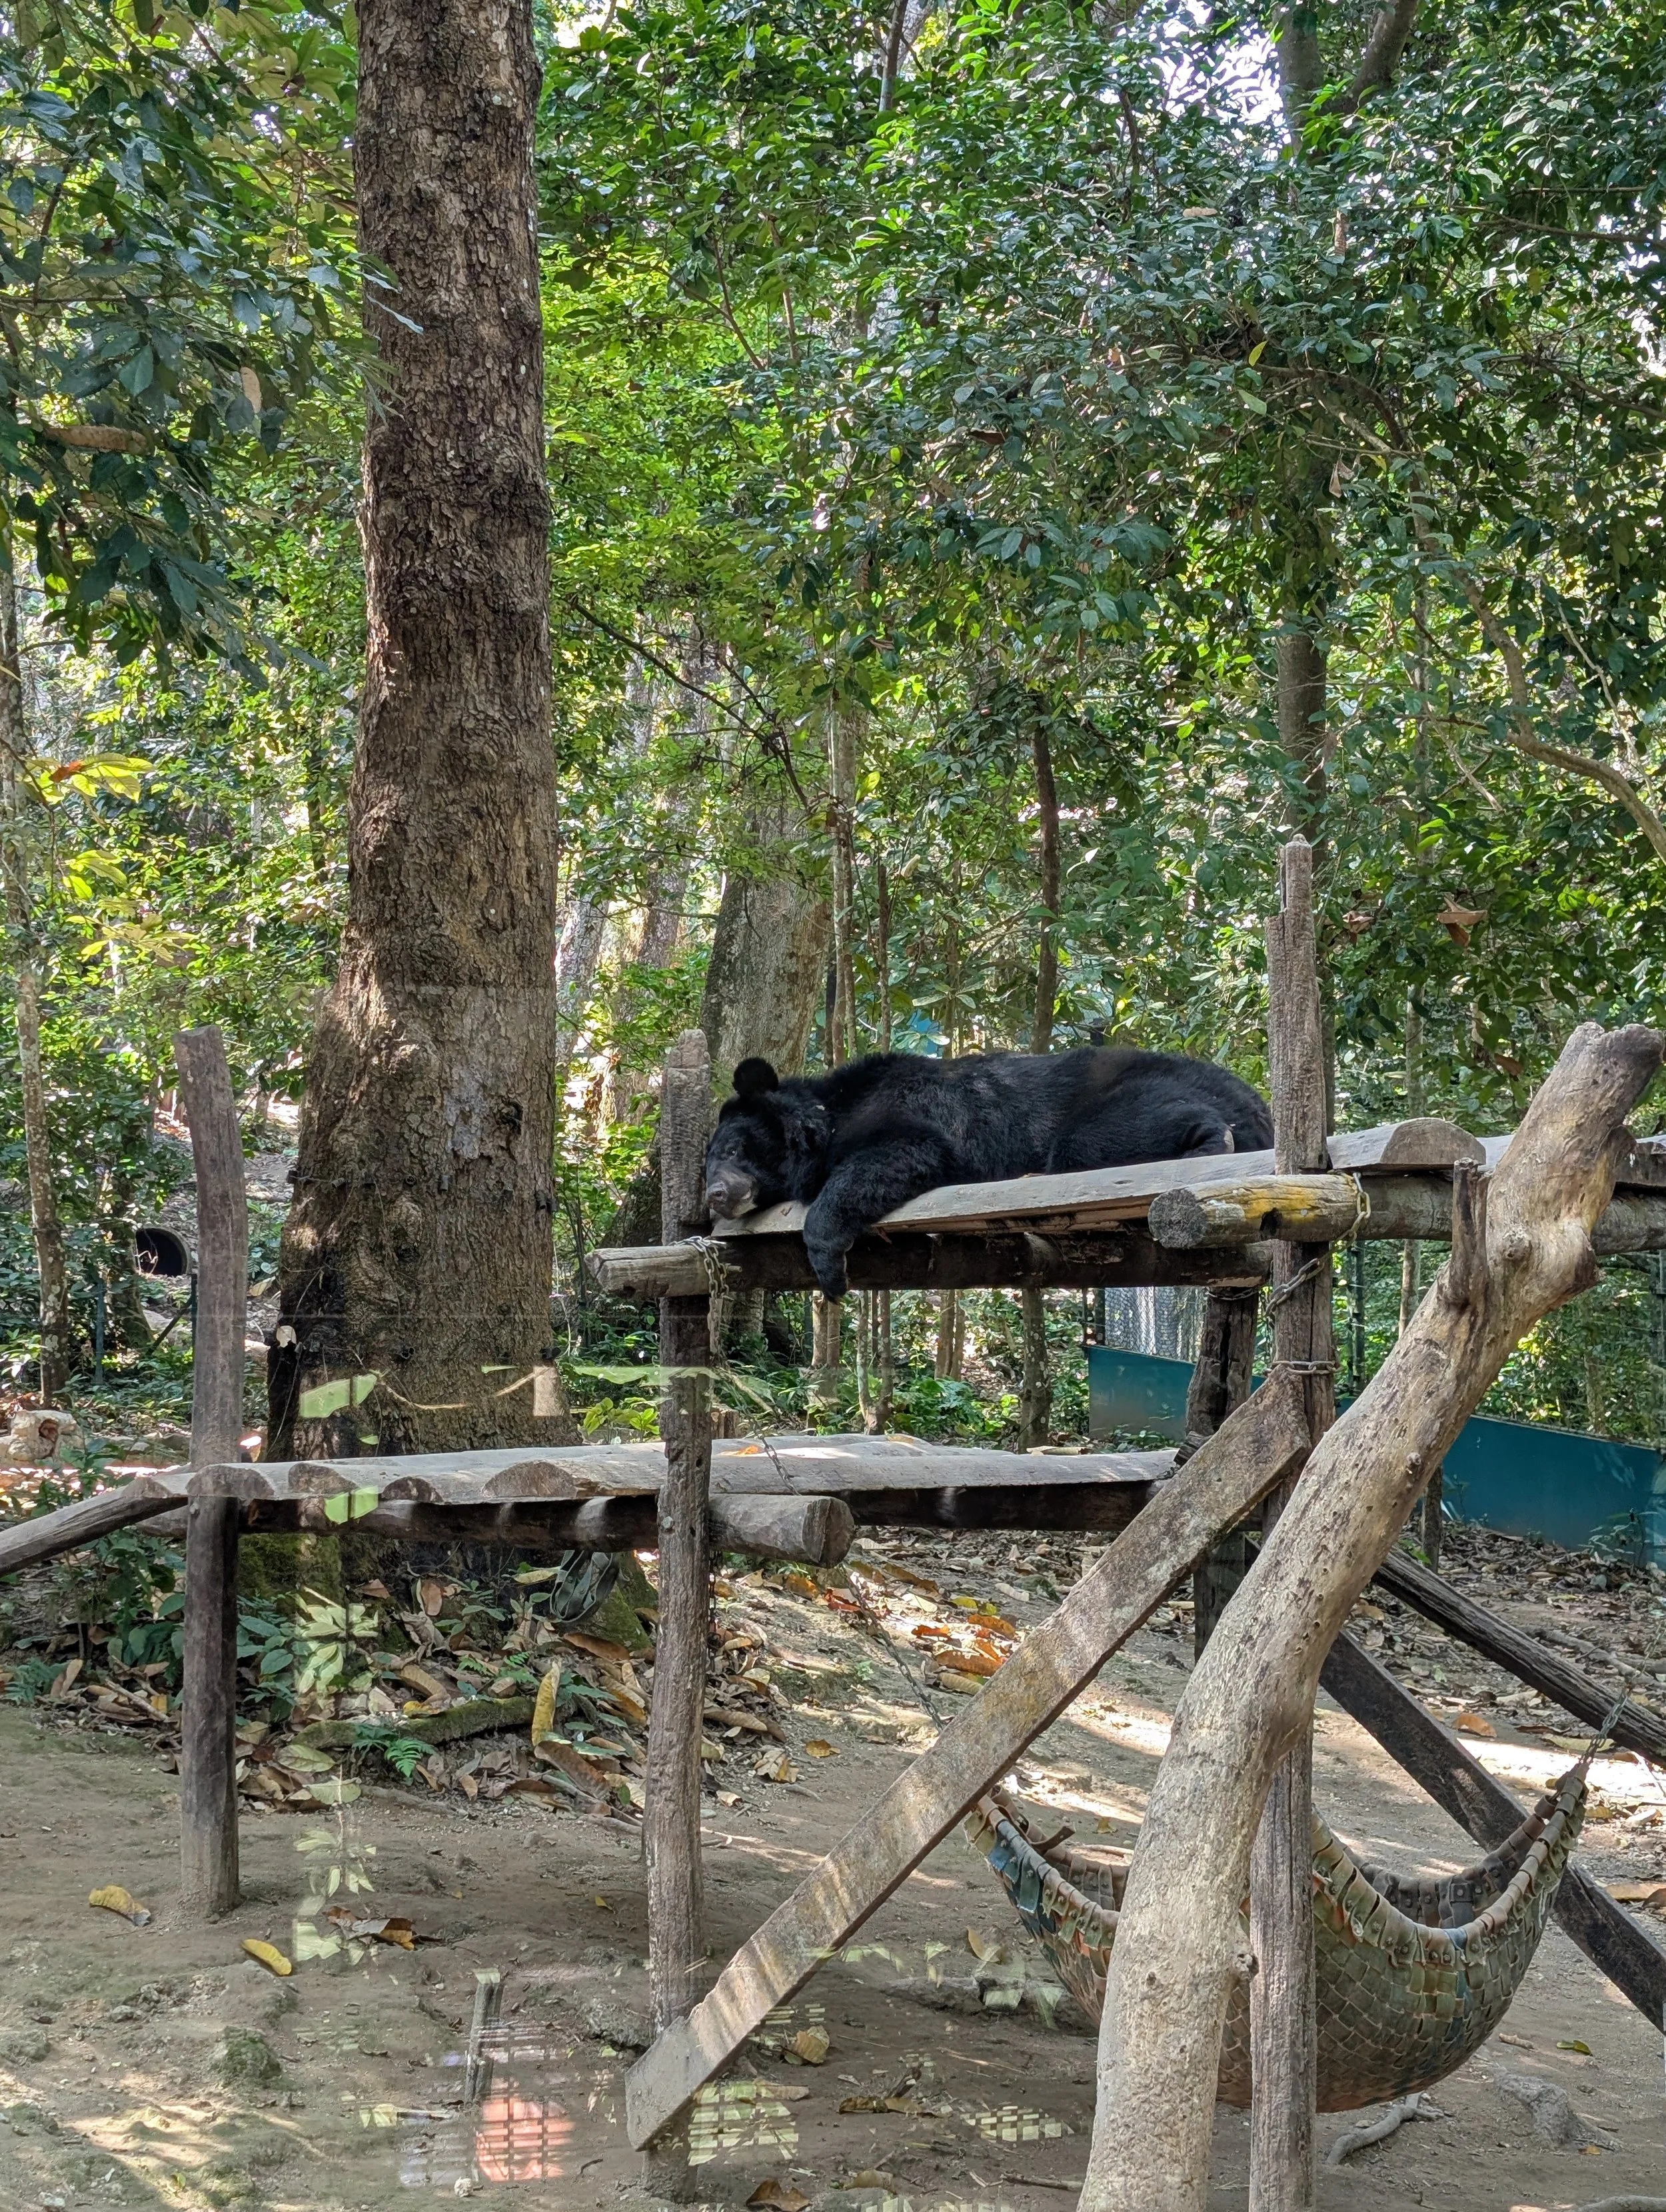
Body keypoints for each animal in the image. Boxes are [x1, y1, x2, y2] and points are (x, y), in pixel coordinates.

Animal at [702, 1045, 1273, 1298]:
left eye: (733, 1148)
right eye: (704, 1165)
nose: (715, 1195)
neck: (827, 1116)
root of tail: (1257, 1102)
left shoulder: (910, 1119)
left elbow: (897, 1155)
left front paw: (830, 1270)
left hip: (1124, 1104)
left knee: (1091, 1140)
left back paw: (1208, 1146)